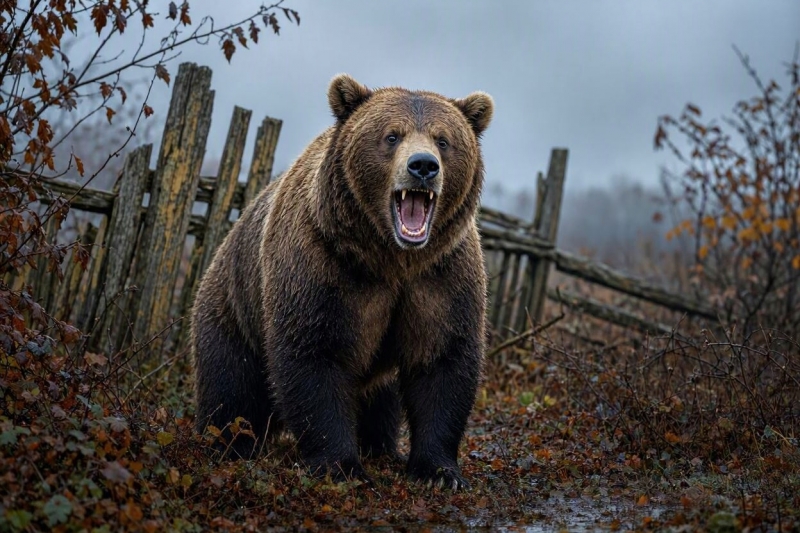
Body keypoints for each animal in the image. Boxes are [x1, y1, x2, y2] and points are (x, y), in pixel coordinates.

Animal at [191, 74, 494, 490]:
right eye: (392, 136)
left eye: (443, 139)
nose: (423, 166)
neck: (391, 257)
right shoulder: (322, 264)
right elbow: (315, 352)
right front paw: (341, 466)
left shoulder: (440, 275)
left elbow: (443, 356)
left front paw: (439, 471)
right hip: (232, 308)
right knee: (230, 387)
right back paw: (228, 445)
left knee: (381, 399)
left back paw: (381, 446)